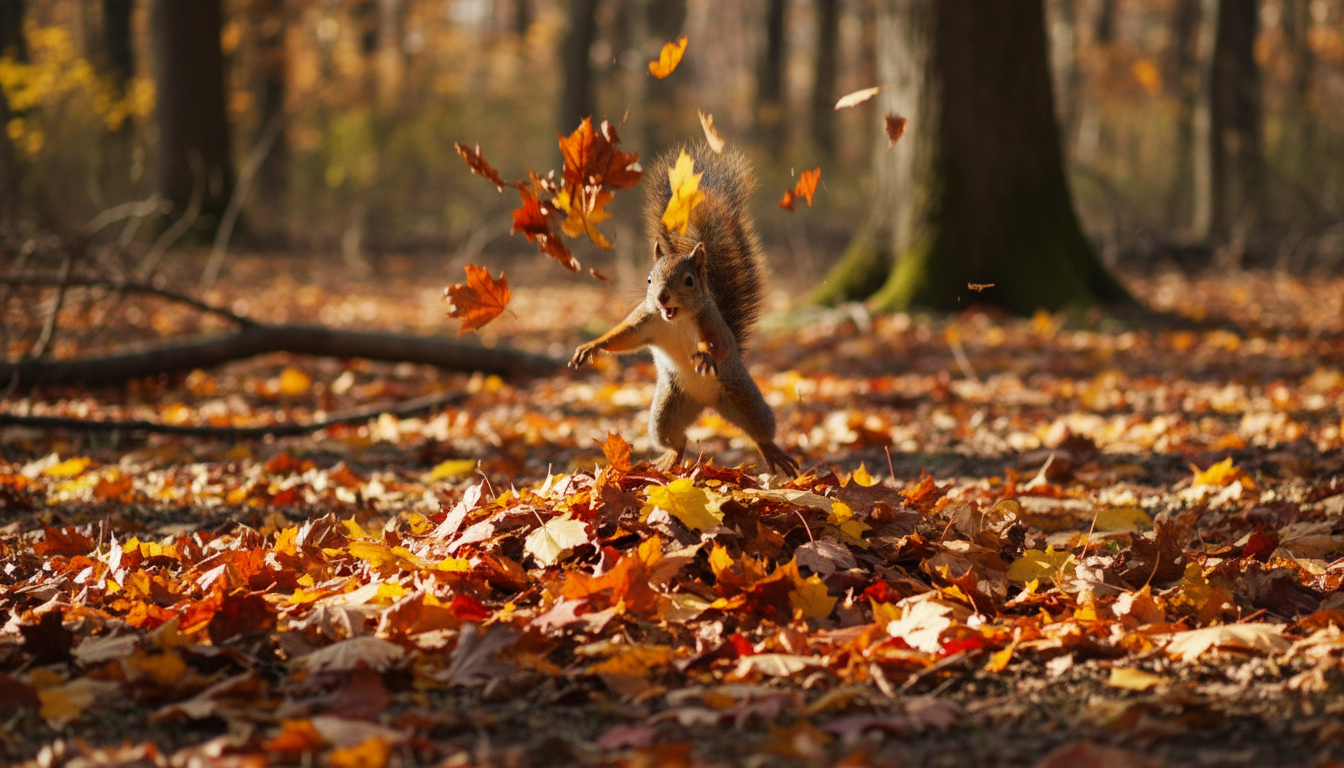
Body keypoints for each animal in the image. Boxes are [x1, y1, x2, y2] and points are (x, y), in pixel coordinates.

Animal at [570, 142, 799, 477]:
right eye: (649, 278)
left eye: (689, 280)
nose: (662, 297)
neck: (675, 319)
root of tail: (706, 404)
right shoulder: (646, 320)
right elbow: (623, 337)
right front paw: (591, 346)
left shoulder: (709, 322)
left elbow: (720, 342)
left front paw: (704, 355)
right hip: (667, 410)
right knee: (677, 440)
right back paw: (667, 459)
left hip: (743, 398)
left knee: (760, 430)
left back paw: (772, 451)